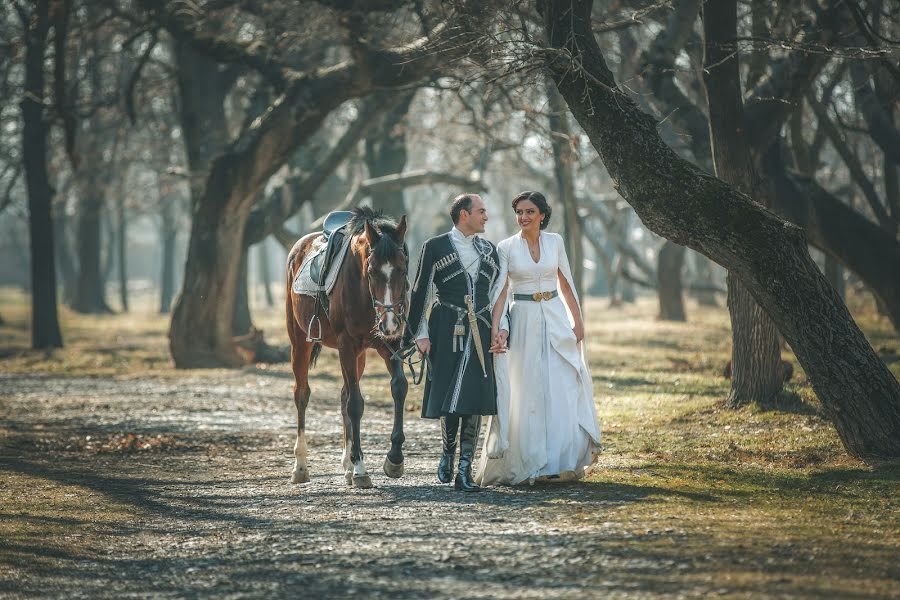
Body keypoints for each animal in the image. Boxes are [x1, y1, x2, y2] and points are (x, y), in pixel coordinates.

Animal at [284, 206, 412, 488]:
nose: (390, 323)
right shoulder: (346, 345)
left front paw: (394, 459)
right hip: (300, 341)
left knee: (343, 395)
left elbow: (398, 388)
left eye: (403, 269)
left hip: (361, 355)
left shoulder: (390, 345)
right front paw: (362, 468)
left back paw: (347, 466)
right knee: (302, 394)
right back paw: (300, 466)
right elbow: (355, 404)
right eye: (372, 271)